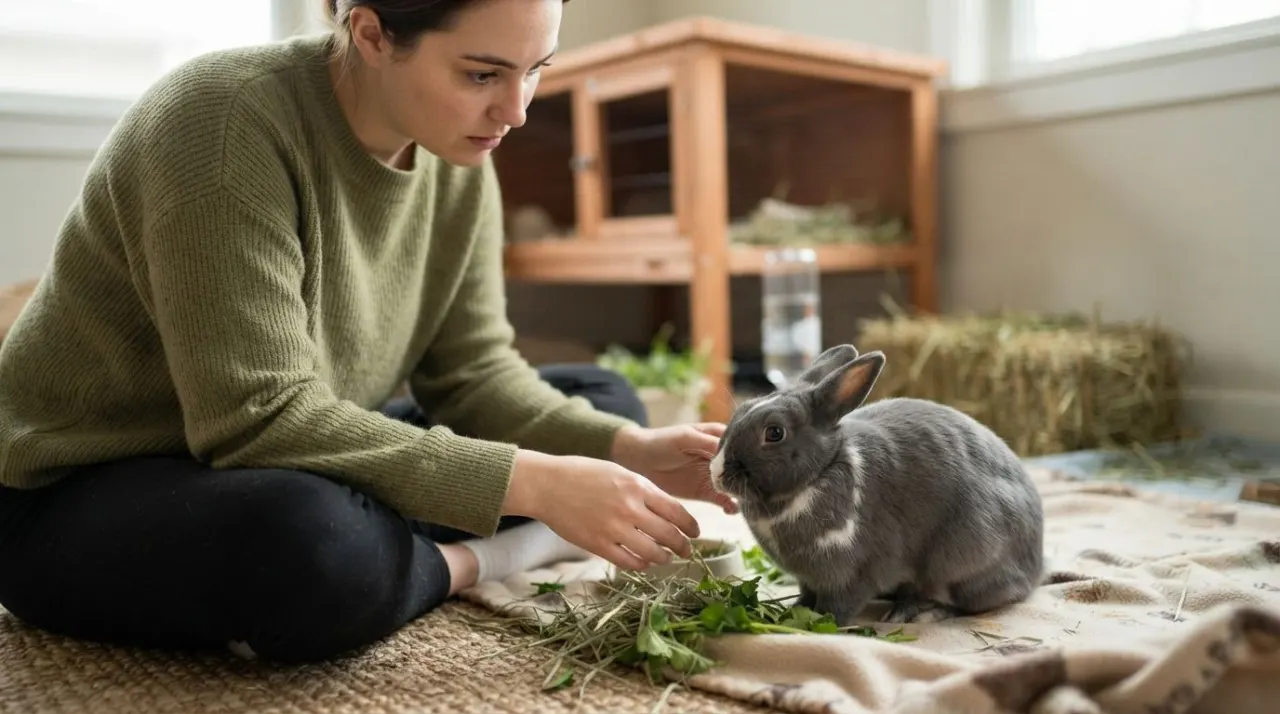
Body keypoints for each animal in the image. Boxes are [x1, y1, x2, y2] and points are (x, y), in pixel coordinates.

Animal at [708, 344, 1044, 626]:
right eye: (743, 410)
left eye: (774, 433)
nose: (716, 472)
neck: (820, 472)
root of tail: (1037, 566)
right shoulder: (809, 579)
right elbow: (806, 595)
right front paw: (793, 612)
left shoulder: (854, 572)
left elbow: (837, 607)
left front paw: (816, 625)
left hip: (961, 559)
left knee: (968, 601)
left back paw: (914, 613)